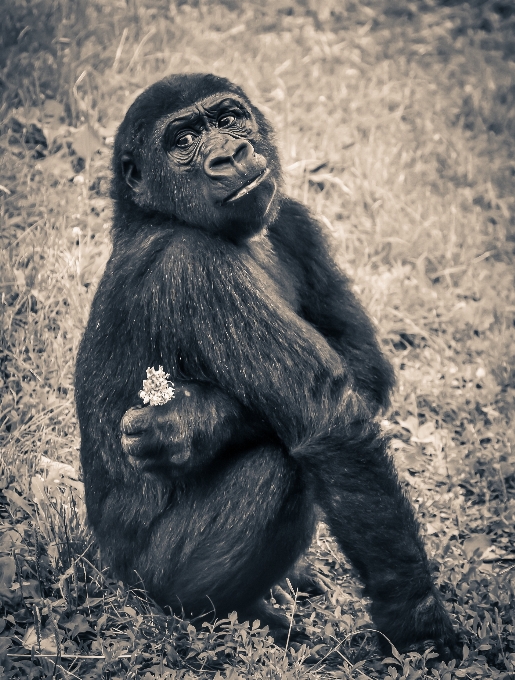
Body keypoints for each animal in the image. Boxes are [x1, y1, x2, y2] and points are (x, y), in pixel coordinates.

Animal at [75, 73, 460, 660]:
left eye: (229, 119)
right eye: (183, 141)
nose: (230, 155)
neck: (154, 214)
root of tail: (112, 571)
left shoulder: (294, 218)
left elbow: (364, 364)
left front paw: (191, 422)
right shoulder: (194, 265)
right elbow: (329, 421)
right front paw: (418, 622)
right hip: (147, 582)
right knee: (276, 469)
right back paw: (236, 613)